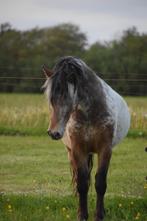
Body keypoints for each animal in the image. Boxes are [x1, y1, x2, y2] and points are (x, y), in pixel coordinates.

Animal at [42, 56, 130, 221]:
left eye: (65, 95)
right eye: (50, 99)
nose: (53, 133)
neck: (90, 113)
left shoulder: (105, 150)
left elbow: (100, 182)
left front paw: (99, 215)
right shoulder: (78, 150)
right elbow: (82, 184)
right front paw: (82, 215)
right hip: (71, 152)